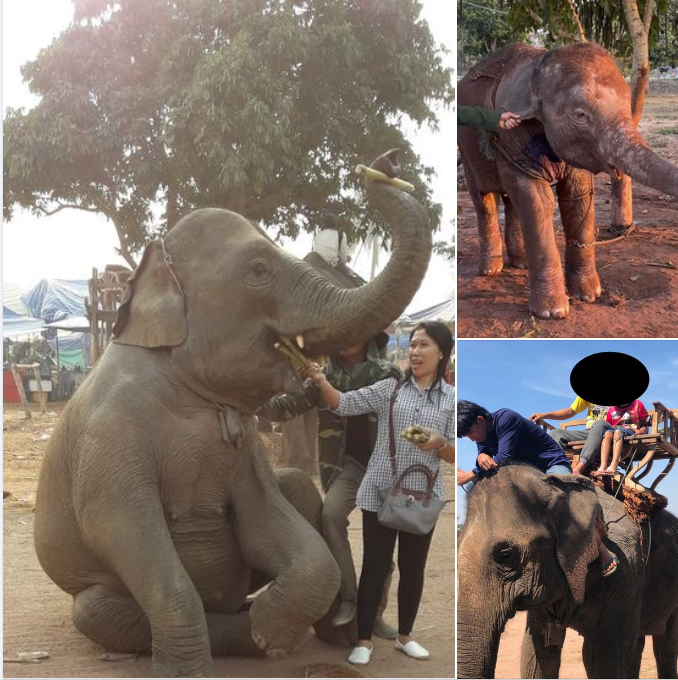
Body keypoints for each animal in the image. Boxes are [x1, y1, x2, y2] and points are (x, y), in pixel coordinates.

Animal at [33, 150, 432, 677]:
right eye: (259, 268)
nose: (385, 163)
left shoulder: (245, 451)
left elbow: (272, 522)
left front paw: (270, 631)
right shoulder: (108, 438)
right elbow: (121, 526)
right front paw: (209, 660)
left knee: (299, 487)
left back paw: (322, 632)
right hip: (91, 593)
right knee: (101, 611)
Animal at [458, 42, 678, 320]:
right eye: (581, 116)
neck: (539, 65)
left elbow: (577, 195)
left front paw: (589, 296)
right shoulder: (510, 138)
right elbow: (537, 200)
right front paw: (552, 313)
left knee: (512, 203)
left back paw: (521, 263)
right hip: (466, 151)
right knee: (484, 200)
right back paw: (490, 270)